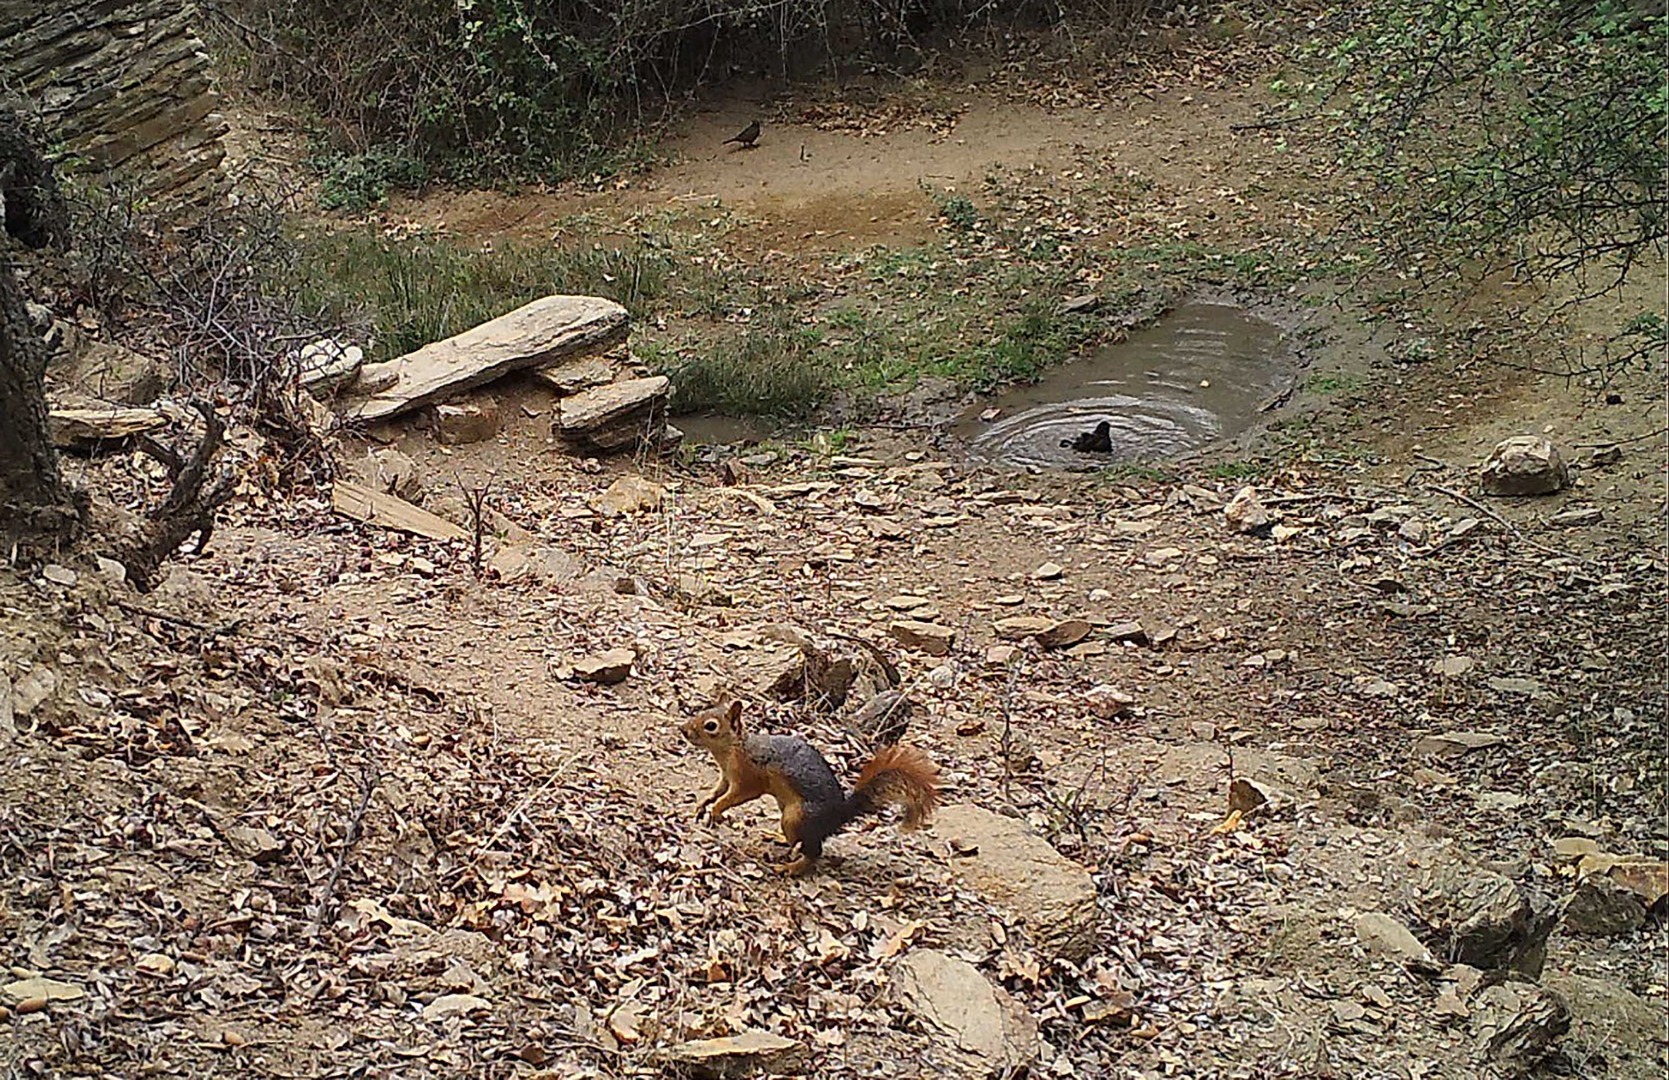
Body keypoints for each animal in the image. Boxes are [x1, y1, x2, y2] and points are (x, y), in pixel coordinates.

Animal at [677, 701, 941, 881]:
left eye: (711, 726)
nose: (683, 729)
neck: (732, 749)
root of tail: (839, 816)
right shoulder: (726, 777)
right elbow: (718, 790)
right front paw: (703, 804)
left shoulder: (748, 778)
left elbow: (734, 796)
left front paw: (716, 811)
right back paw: (780, 841)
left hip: (796, 817)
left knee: (815, 853)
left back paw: (789, 868)